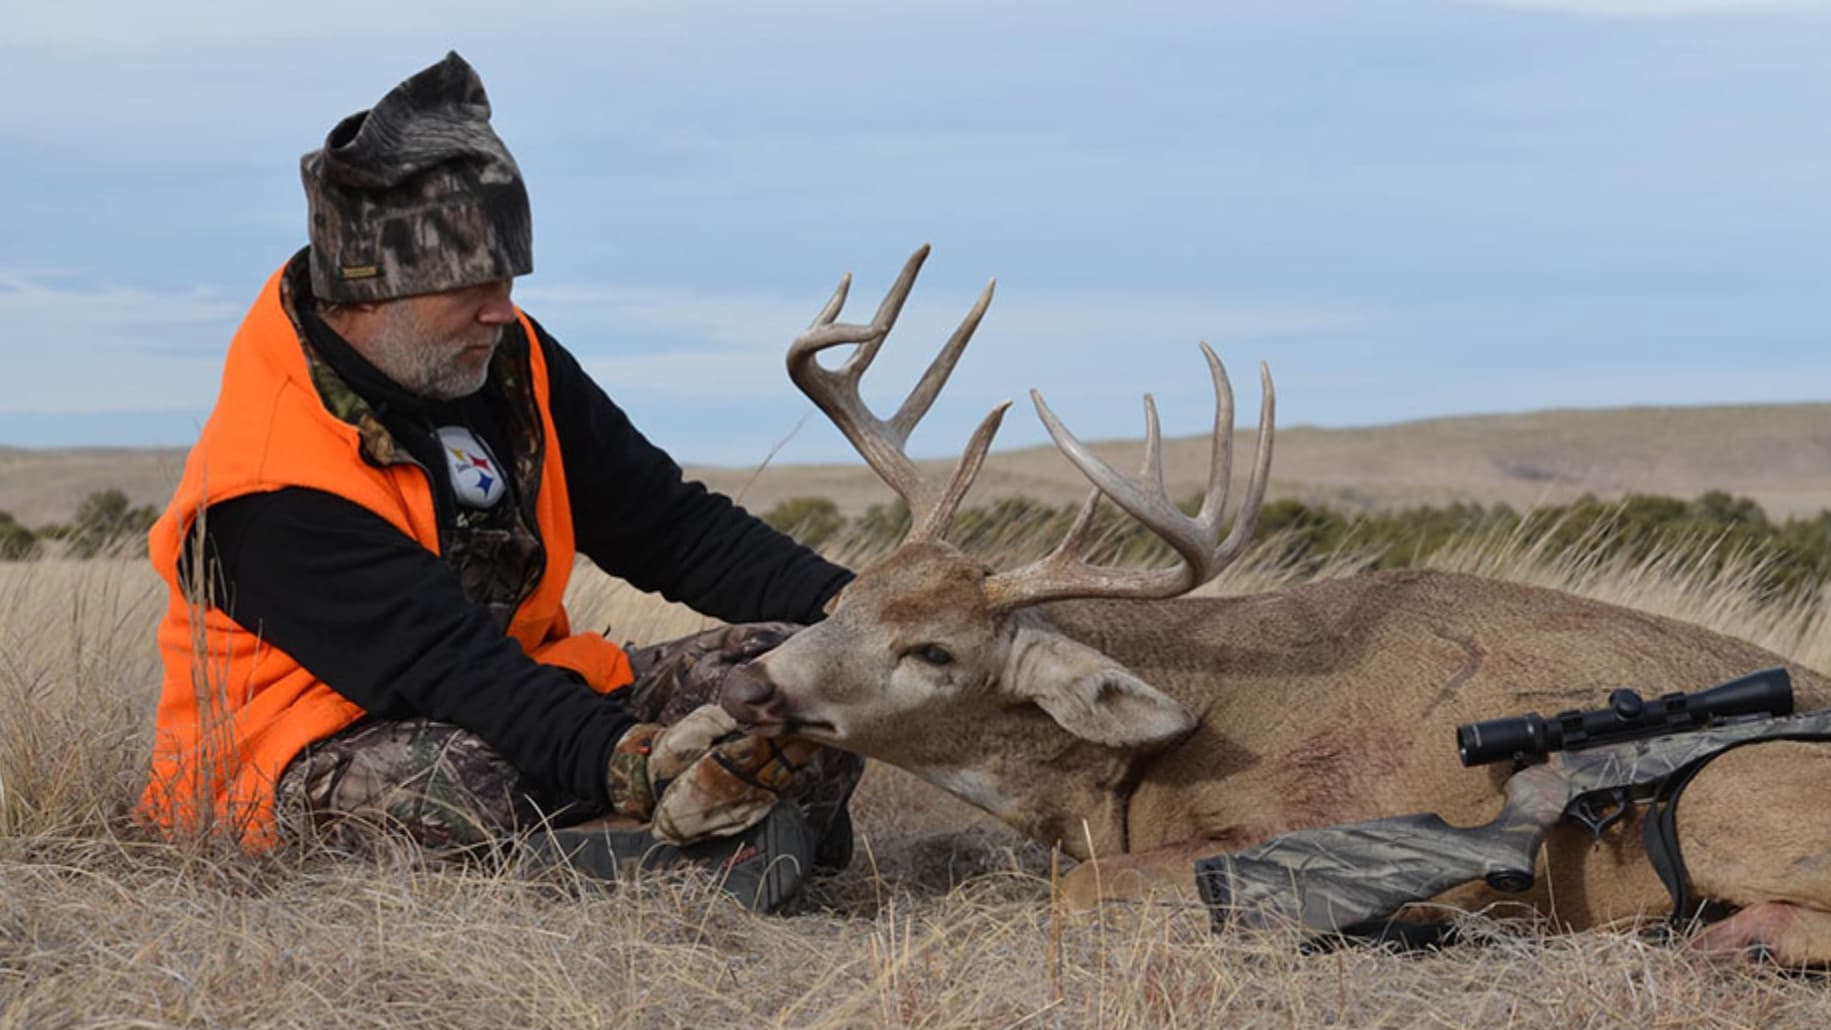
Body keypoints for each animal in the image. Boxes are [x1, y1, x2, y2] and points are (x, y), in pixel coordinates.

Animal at [722, 247, 1831, 964]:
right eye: (848, 593)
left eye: (936, 651)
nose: (748, 682)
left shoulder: (1301, 824)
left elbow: (1074, 891)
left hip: (1723, 794)